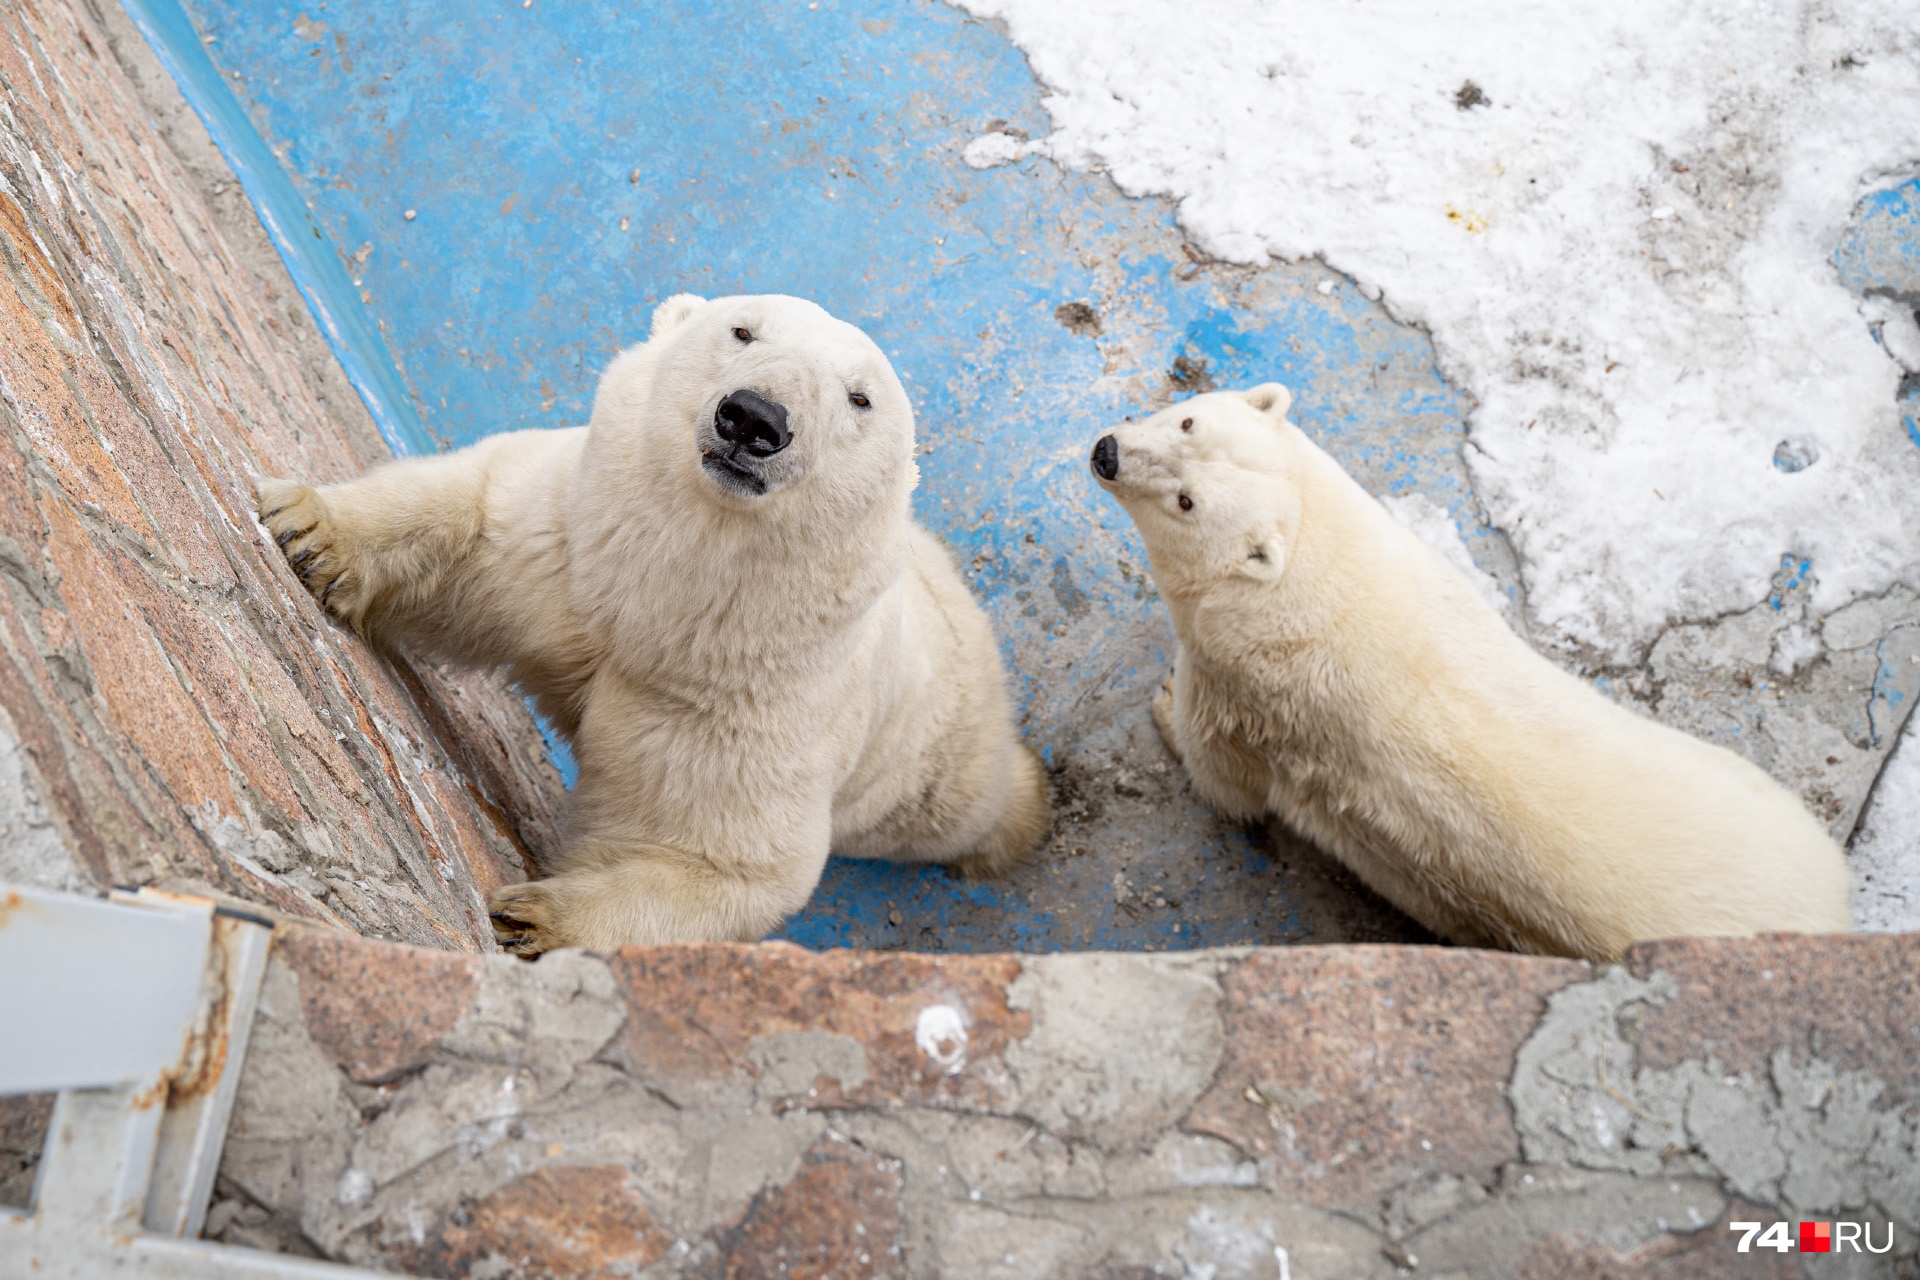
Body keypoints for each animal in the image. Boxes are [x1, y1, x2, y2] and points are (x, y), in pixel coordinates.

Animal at [257, 289, 1052, 951]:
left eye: (860, 397)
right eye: (742, 330)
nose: (755, 417)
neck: (665, 601)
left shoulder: (743, 702)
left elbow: (718, 858)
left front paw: (533, 917)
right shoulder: (569, 543)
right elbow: (473, 515)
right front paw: (307, 529)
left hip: (935, 746)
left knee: (959, 802)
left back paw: (1021, 814)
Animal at [1098, 385, 1858, 967]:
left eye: (1187, 502)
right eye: (1189, 421)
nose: (1106, 453)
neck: (1315, 575)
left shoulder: (1248, 693)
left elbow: (1227, 778)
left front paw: (1164, 704)